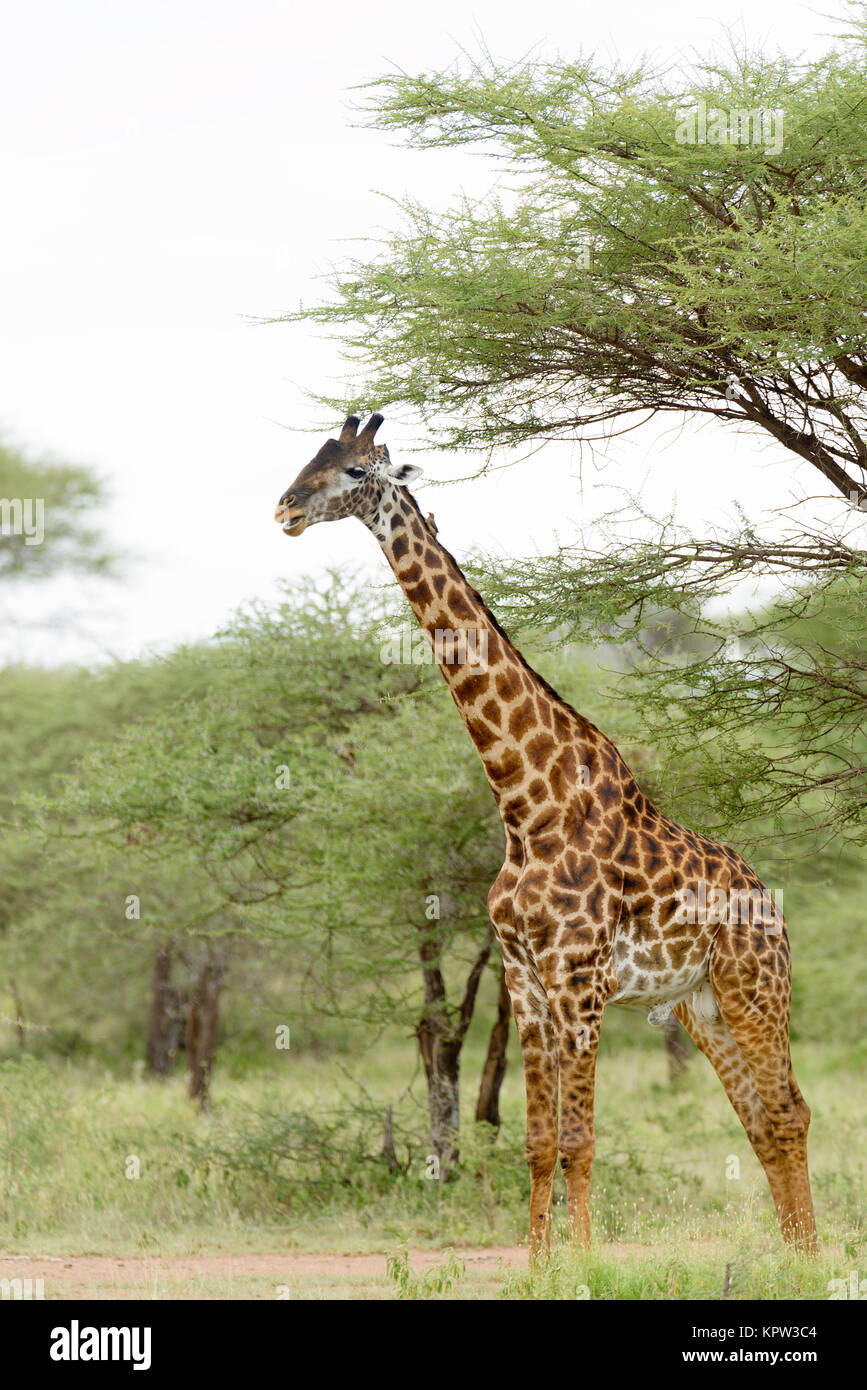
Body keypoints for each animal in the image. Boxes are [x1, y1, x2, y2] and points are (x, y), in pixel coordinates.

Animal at [273, 408, 816, 1262]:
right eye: (310, 459)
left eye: (356, 470)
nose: (285, 509)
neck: (525, 804)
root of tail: (769, 901)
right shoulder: (527, 982)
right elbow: (534, 1142)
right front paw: (537, 1268)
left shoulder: (579, 981)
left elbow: (579, 1140)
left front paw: (585, 1266)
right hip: (698, 1007)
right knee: (761, 1120)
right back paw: (793, 1259)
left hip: (754, 987)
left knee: (788, 1112)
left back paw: (812, 1263)